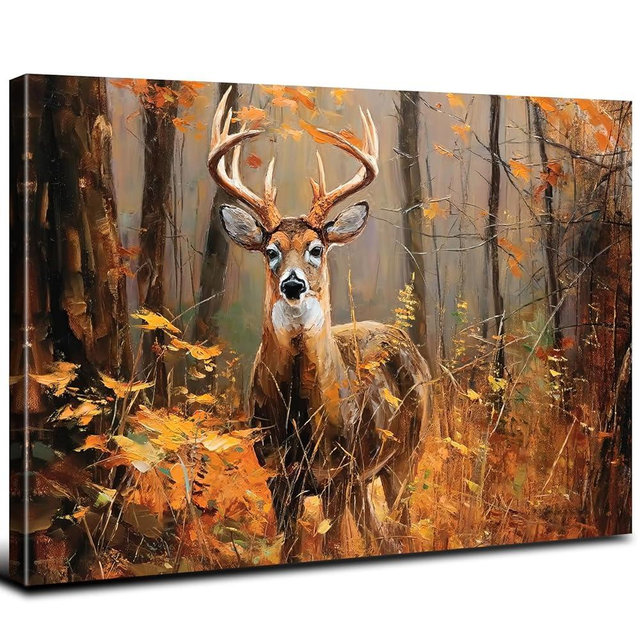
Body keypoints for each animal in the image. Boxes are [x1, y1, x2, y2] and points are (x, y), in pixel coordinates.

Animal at [208, 88, 431, 560]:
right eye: (271, 250)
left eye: (316, 248)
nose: (293, 284)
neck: (298, 418)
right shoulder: (277, 474)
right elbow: (290, 549)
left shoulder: (337, 474)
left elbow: (333, 547)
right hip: (366, 476)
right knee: (378, 531)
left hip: (407, 453)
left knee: (400, 523)